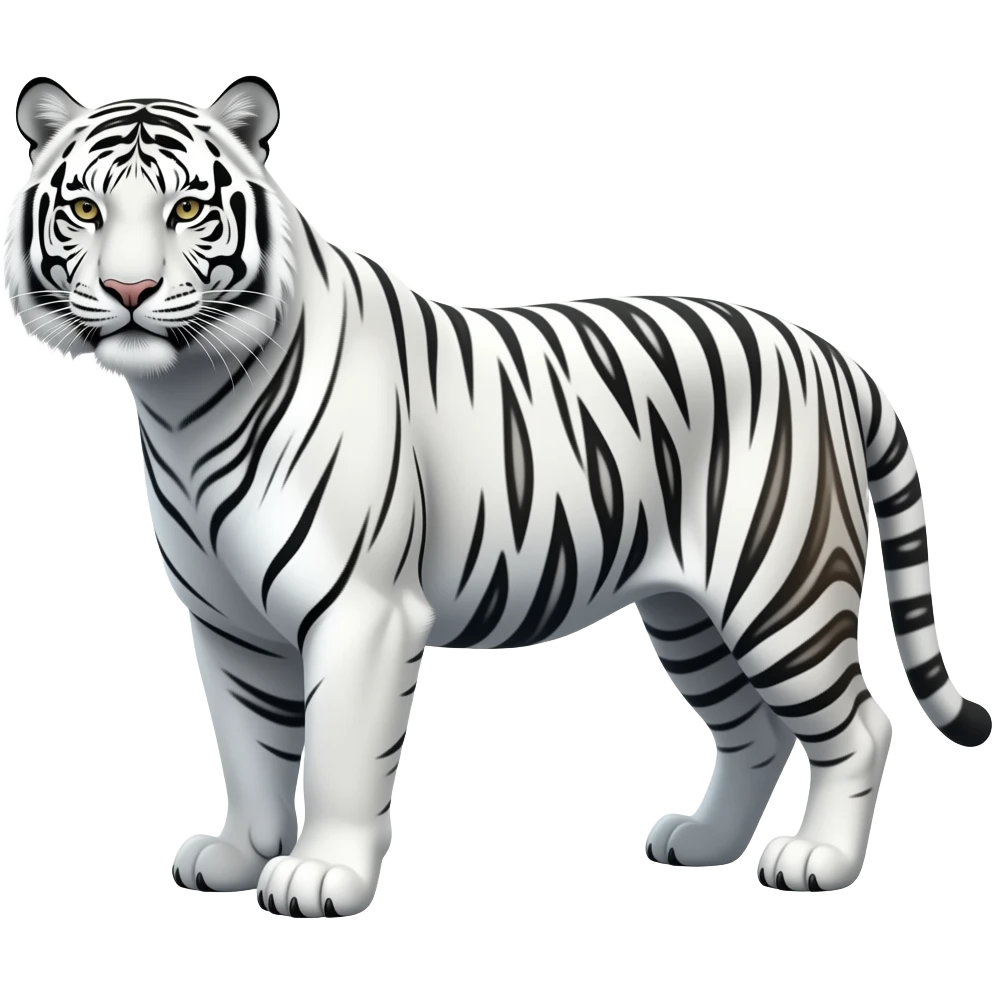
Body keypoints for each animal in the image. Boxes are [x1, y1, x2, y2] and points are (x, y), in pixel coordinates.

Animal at [4, 74, 989, 917]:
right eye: (86, 208)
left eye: (187, 208)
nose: (130, 289)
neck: (183, 401)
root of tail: (828, 352)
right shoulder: (228, 623)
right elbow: (250, 749)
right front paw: (239, 857)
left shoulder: (361, 614)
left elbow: (335, 756)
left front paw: (320, 878)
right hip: (689, 614)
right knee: (754, 730)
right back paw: (703, 844)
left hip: (779, 590)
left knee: (859, 725)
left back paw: (817, 861)